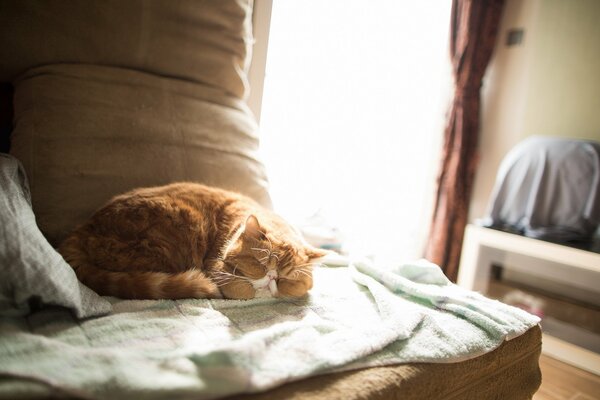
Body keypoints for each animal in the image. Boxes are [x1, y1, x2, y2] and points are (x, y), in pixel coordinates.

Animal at [58, 183, 326, 298]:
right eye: (260, 264)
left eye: (286, 278)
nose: (272, 278)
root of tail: (84, 227)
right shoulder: (216, 265)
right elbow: (241, 288)